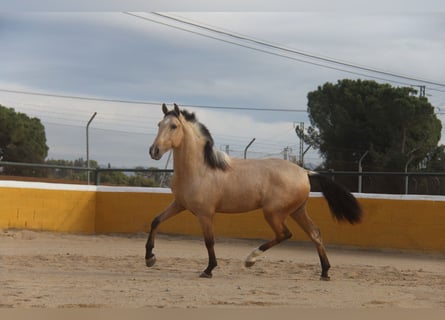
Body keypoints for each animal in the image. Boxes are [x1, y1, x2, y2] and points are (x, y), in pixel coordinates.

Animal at [146, 103, 360, 280]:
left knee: (285, 234)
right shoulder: (179, 204)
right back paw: (325, 272)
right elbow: (155, 221)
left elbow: (209, 241)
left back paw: (251, 259)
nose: (154, 151)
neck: (200, 169)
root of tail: (305, 172)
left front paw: (208, 269)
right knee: (315, 233)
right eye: (159, 124)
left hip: (273, 213)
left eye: (174, 126)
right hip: (297, 211)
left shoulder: (205, 214)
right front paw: (150, 257)